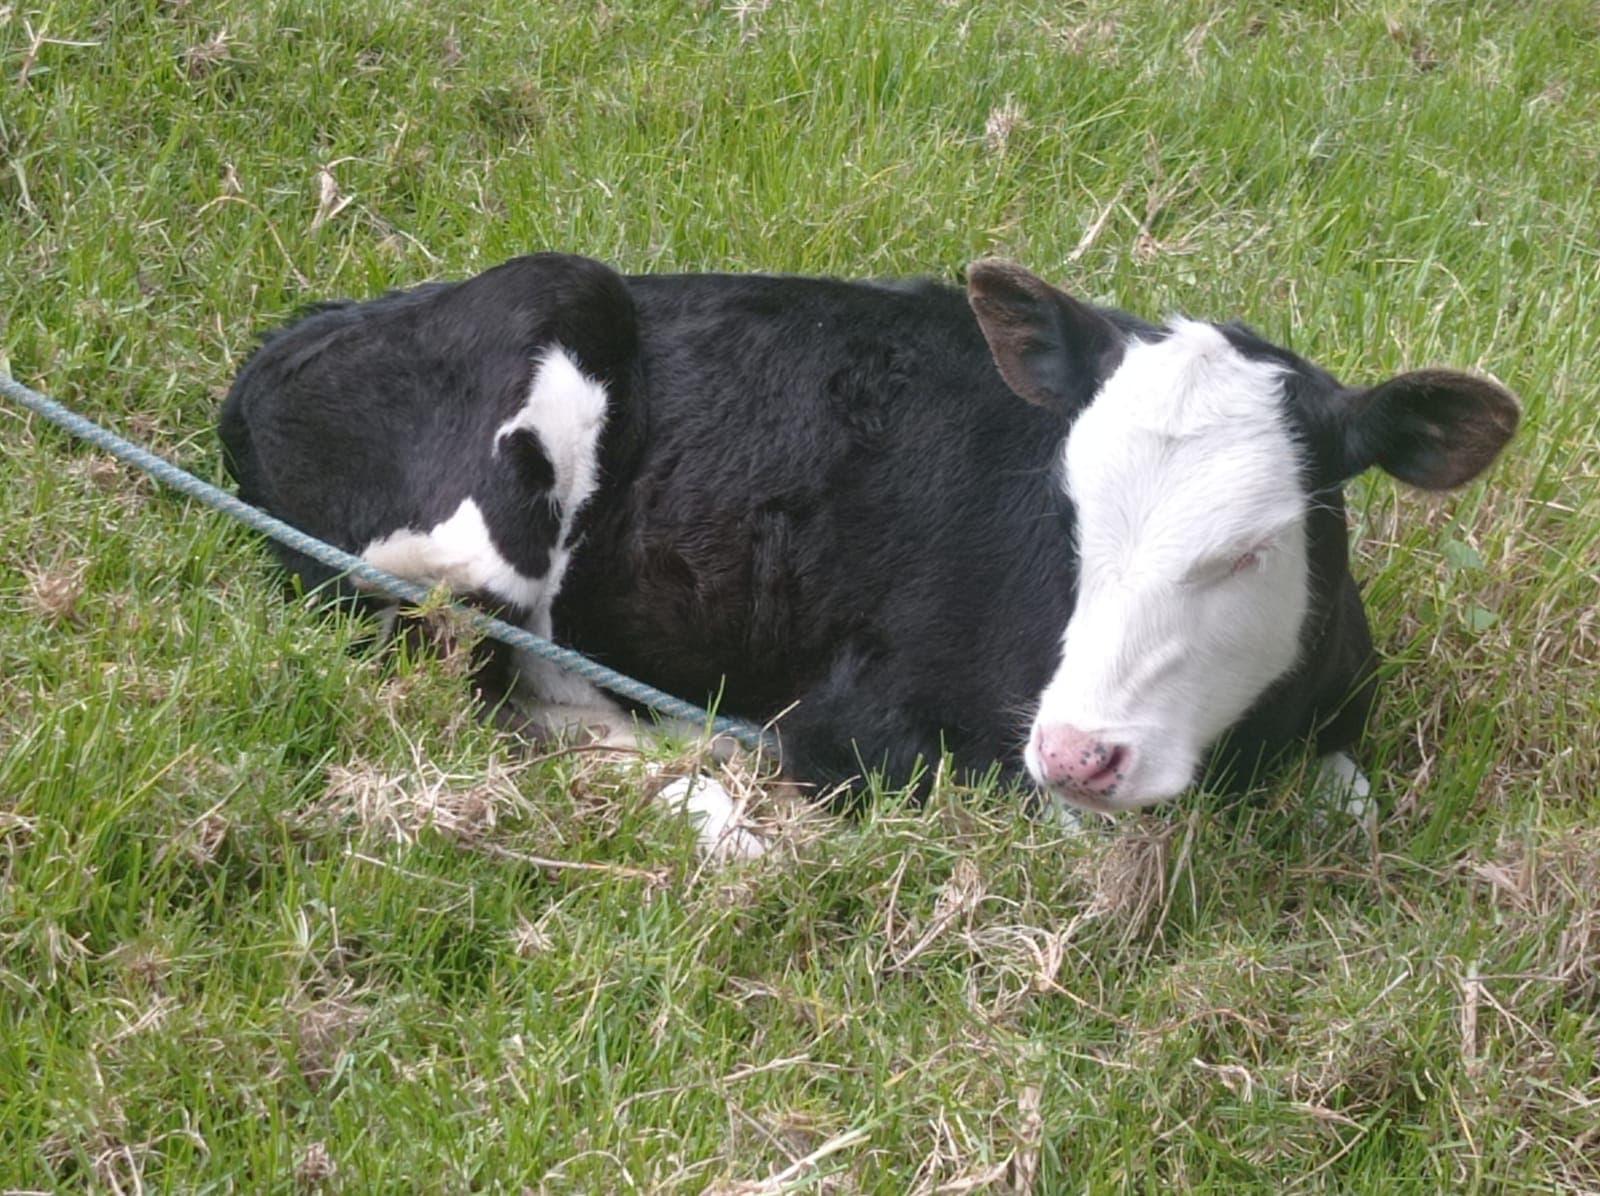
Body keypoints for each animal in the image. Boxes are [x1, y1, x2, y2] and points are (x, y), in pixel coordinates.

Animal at [219, 253, 1519, 847]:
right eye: (1070, 510)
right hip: (491, 478)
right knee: (500, 684)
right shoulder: (865, 718)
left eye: (1251, 550)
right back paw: (716, 807)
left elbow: (1353, 808)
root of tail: (301, 334)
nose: (1081, 749)